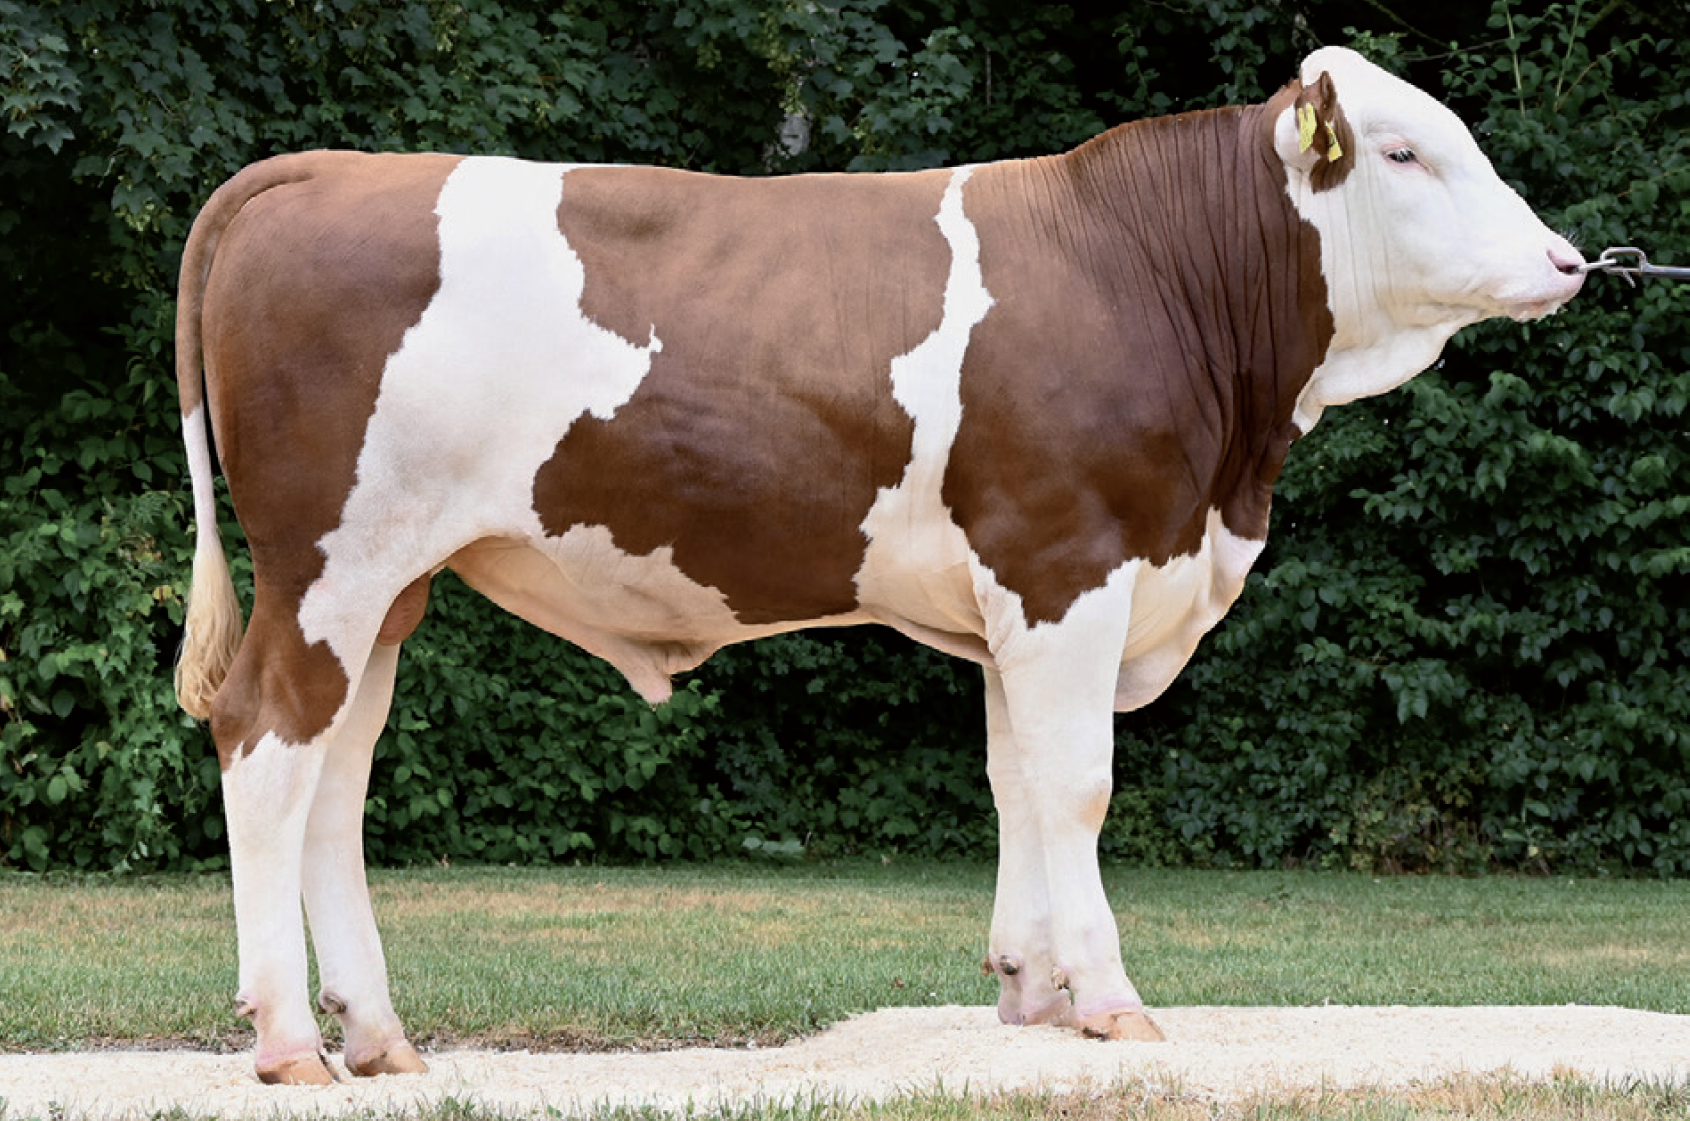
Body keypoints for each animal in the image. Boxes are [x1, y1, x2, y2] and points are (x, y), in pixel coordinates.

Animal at [172, 46, 1585, 1084]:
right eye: (1402, 151)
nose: (1570, 261)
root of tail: (318, 171)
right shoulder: (1068, 564)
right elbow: (1076, 785)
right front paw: (1109, 997)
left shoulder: (1019, 594)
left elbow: (1015, 781)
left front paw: (1028, 990)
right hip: (326, 568)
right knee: (263, 743)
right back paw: (288, 1039)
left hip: (386, 585)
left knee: (335, 776)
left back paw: (376, 1035)